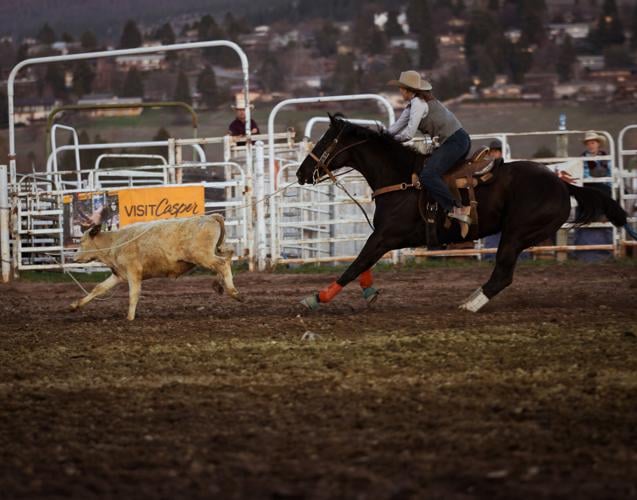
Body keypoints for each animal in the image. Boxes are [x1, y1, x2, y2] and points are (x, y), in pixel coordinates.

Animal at [296, 115, 628, 312]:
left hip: (516, 233)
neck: (402, 179)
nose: (300, 173)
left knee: (502, 274)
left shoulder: (387, 236)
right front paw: (368, 292)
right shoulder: (383, 236)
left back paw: (470, 304)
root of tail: (560, 183)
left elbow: (356, 264)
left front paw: (316, 298)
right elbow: (362, 263)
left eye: (324, 141)